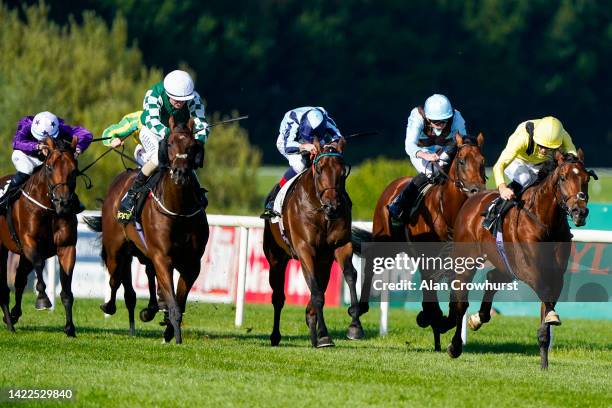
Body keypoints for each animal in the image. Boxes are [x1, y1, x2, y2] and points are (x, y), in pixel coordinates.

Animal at [0, 135, 80, 336]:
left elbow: (67, 290)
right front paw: (43, 299)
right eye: (50, 167)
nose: (63, 203)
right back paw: (10, 324)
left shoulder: (67, 247)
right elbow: (38, 266)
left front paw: (70, 328)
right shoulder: (30, 242)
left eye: (74, 170)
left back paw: (13, 315)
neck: (49, 209)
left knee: (20, 280)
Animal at [83, 118, 209, 344]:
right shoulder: (162, 258)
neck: (179, 211)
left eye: (193, 146)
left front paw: (169, 330)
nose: (180, 174)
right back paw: (110, 306)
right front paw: (175, 336)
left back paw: (149, 309)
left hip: (142, 252)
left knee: (146, 277)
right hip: (116, 248)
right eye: (169, 144)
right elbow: (173, 303)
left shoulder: (192, 263)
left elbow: (179, 301)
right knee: (115, 279)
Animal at [264, 138, 364, 348]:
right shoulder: (304, 249)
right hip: (275, 258)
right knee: (278, 298)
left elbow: (350, 276)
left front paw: (355, 326)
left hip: (323, 262)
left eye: (342, 172)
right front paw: (325, 335)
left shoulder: (341, 245)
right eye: (319, 169)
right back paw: (276, 336)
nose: (333, 207)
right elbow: (316, 294)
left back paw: (312, 329)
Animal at [356, 133, 486, 350]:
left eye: (483, 162)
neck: (447, 213)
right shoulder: (428, 256)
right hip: (386, 243)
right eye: (461, 161)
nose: (477, 190)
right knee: (371, 262)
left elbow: (454, 301)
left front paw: (440, 322)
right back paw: (359, 311)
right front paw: (432, 319)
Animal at [448, 151, 596, 370]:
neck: (546, 222)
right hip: (466, 260)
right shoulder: (529, 269)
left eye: (586, 179)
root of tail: (472, 199)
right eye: (563, 178)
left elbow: (547, 309)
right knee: (461, 301)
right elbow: (544, 292)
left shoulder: (556, 274)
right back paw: (455, 346)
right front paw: (552, 317)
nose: (580, 212)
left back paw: (478, 318)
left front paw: (544, 364)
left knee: (492, 277)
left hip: (505, 265)